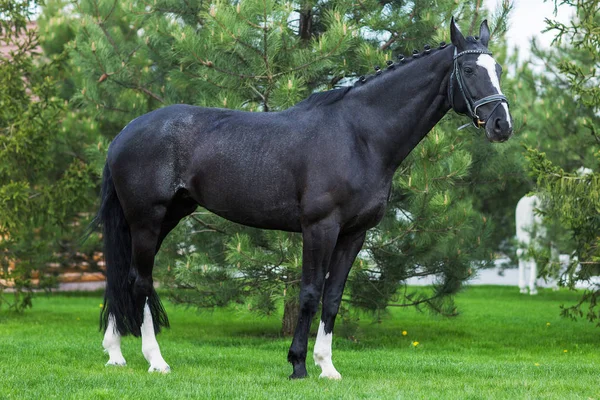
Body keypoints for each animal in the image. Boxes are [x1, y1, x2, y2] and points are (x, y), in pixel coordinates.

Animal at [97, 18, 510, 380]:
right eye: (469, 69)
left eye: (498, 68)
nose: (502, 125)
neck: (359, 136)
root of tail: (124, 134)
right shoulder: (319, 228)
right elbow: (310, 294)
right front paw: (297, 365)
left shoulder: (354, 234)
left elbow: (333, 297)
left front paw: (327, 368)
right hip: (147, 220)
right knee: (140, 281)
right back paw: (156, 361)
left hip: (166, 218)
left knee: (122, 277)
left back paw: (116, 354)